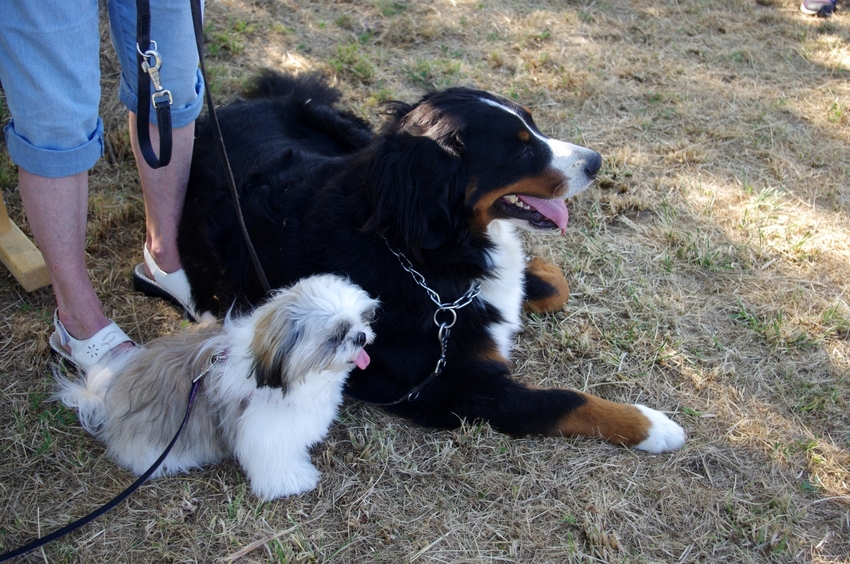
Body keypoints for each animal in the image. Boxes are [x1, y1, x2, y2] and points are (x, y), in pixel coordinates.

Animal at [54, 276, 376, 500]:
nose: (360, 336)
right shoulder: (264, 431)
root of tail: (111, 398)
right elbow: (274, 462)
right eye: (337, 335)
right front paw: (292, 480)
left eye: (362, 318)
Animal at [179, 70, 684, 452]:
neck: (409, 247)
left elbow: (551, 285)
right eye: (520, 148)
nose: (596, 161)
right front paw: (654, 426)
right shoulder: (455, 389)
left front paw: (532, 274)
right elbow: (564, 402)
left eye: (534, 126)